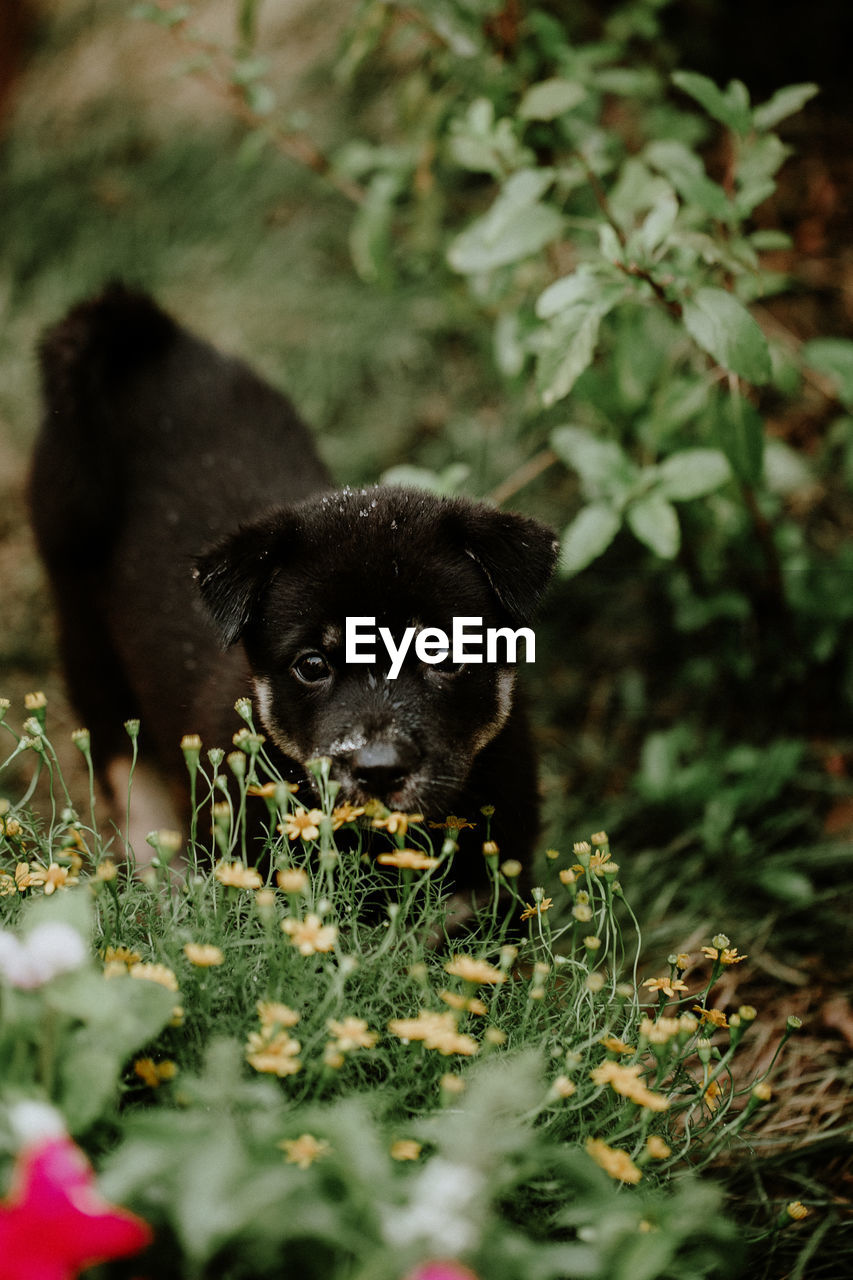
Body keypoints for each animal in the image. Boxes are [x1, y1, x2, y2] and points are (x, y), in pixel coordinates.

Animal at [28, 289, 558, 890]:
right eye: (311, 665)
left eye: (443, 655)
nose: (378, 771)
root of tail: (140, 340)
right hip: (84, 626)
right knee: (123, 763)